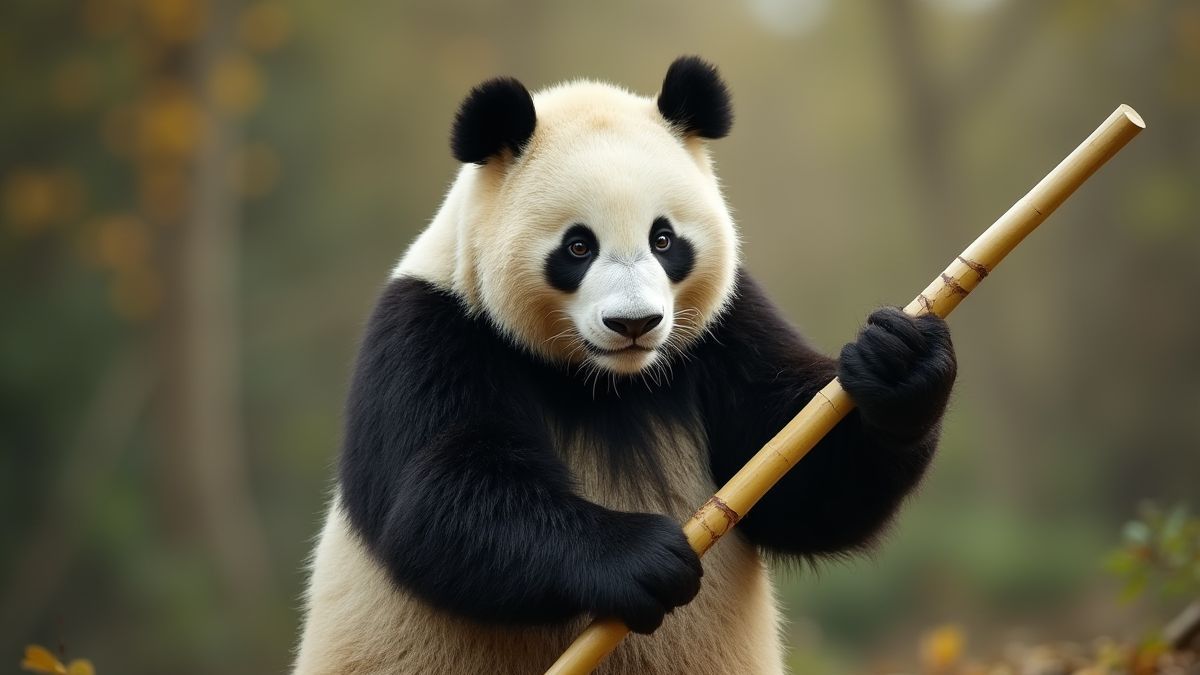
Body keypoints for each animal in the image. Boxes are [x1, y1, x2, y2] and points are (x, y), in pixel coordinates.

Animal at [293, 56, 956, 675]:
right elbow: (437, 500)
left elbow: (799, 485)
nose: (634, 323)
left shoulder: (724, 331)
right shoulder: (434, 331)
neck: (607, 383)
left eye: (664, 239)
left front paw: (898, 364)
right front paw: (643, 558)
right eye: (577, 246)